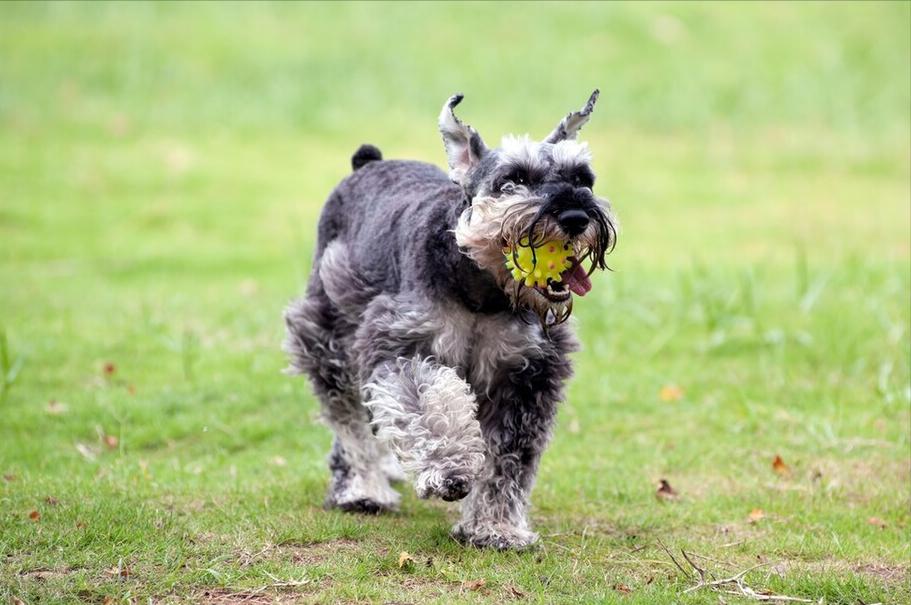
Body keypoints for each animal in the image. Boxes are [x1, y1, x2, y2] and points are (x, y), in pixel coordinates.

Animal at [284, 89, 620, 548]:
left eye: (583, 178)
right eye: (513, 179)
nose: (575, 216)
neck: (482, 289)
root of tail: (369, 162)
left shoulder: (527, 375)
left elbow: (508, 460)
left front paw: (495, 528)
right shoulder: (399, 347)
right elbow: (428, 409)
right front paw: (449, 469)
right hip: (327, 335)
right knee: (349, 420)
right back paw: (363, 488)